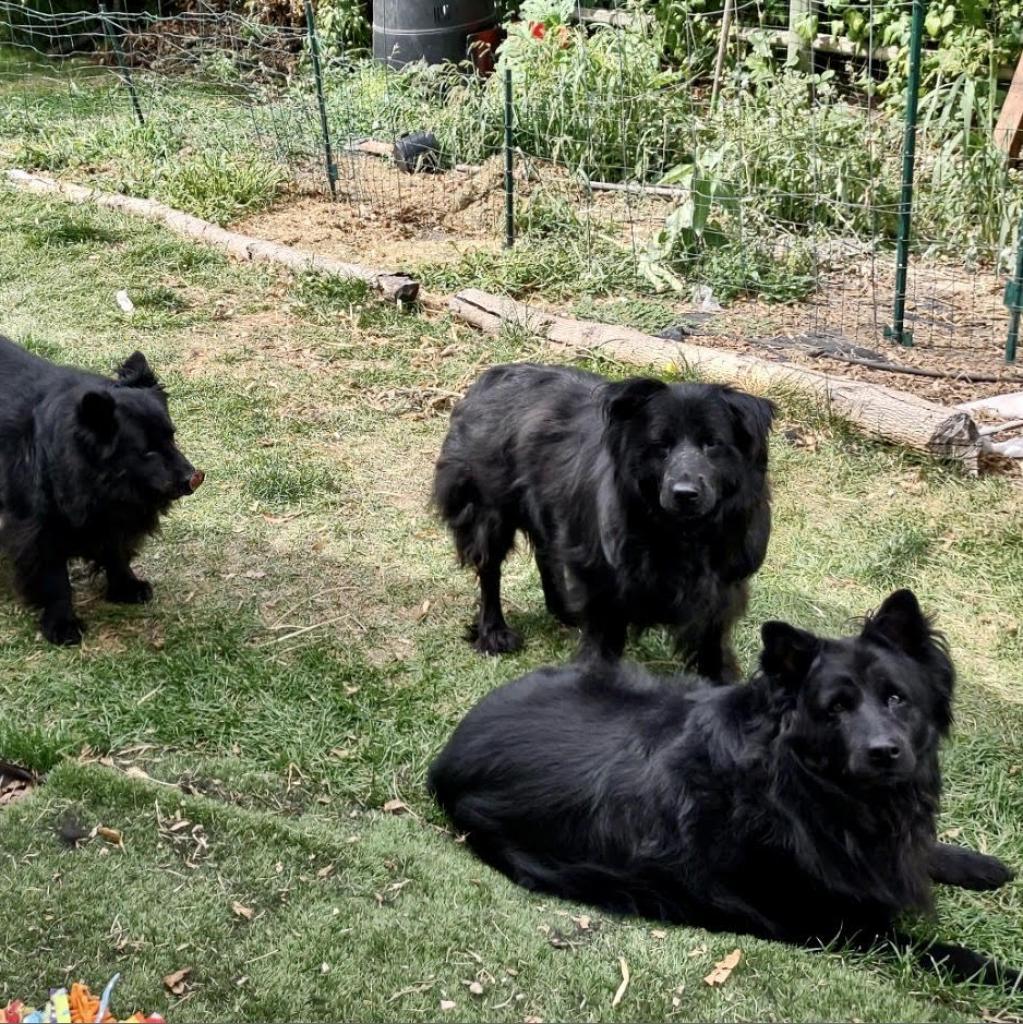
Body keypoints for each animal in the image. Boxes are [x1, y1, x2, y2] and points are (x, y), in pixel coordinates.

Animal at [0, 331, 205, 643]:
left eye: (172, 437)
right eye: (146, 452)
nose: (194, 477)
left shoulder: (111, 512)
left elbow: (115, 549)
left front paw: (128, 588)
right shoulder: (39, 524)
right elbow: (54, 576)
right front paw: (63, 626)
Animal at [428, 593, 1019, 983]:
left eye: (897, 698)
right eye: (834, 709)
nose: (884, 752)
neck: (804, 786)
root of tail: (446, 755)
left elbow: (920, 851)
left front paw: (980, 865)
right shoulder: (834, 924)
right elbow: (938, 952)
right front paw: (1003, 971)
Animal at [432, 362, 774, 679]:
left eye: (712, 444)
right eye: (660, 445)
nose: (685, 494)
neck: (678, 531)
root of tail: (489, 377)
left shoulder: (720, 589)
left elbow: (712, 643)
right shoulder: (603, 581)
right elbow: (601, 643)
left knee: (546, 553)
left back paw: (563, 609)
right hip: (487, 508)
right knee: (490, 568)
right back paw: (494, 632)